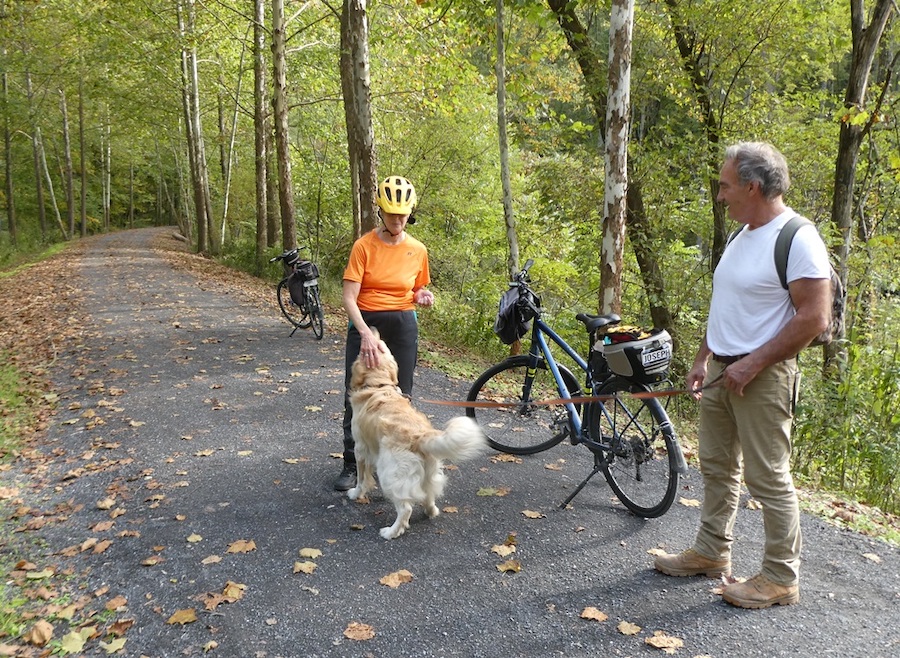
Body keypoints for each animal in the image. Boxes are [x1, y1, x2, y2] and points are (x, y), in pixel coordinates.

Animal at [346, 330, 486, 536]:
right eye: (383, 346)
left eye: (377, 346)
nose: (372, 330)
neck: (379, 385)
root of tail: (420, 436)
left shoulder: (361, 449)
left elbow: (362, 478)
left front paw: (356, 493)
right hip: (429, 471)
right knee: (428, 495)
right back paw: (430, 511)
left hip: (390, 472)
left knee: (405, 508)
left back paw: (391, 532)